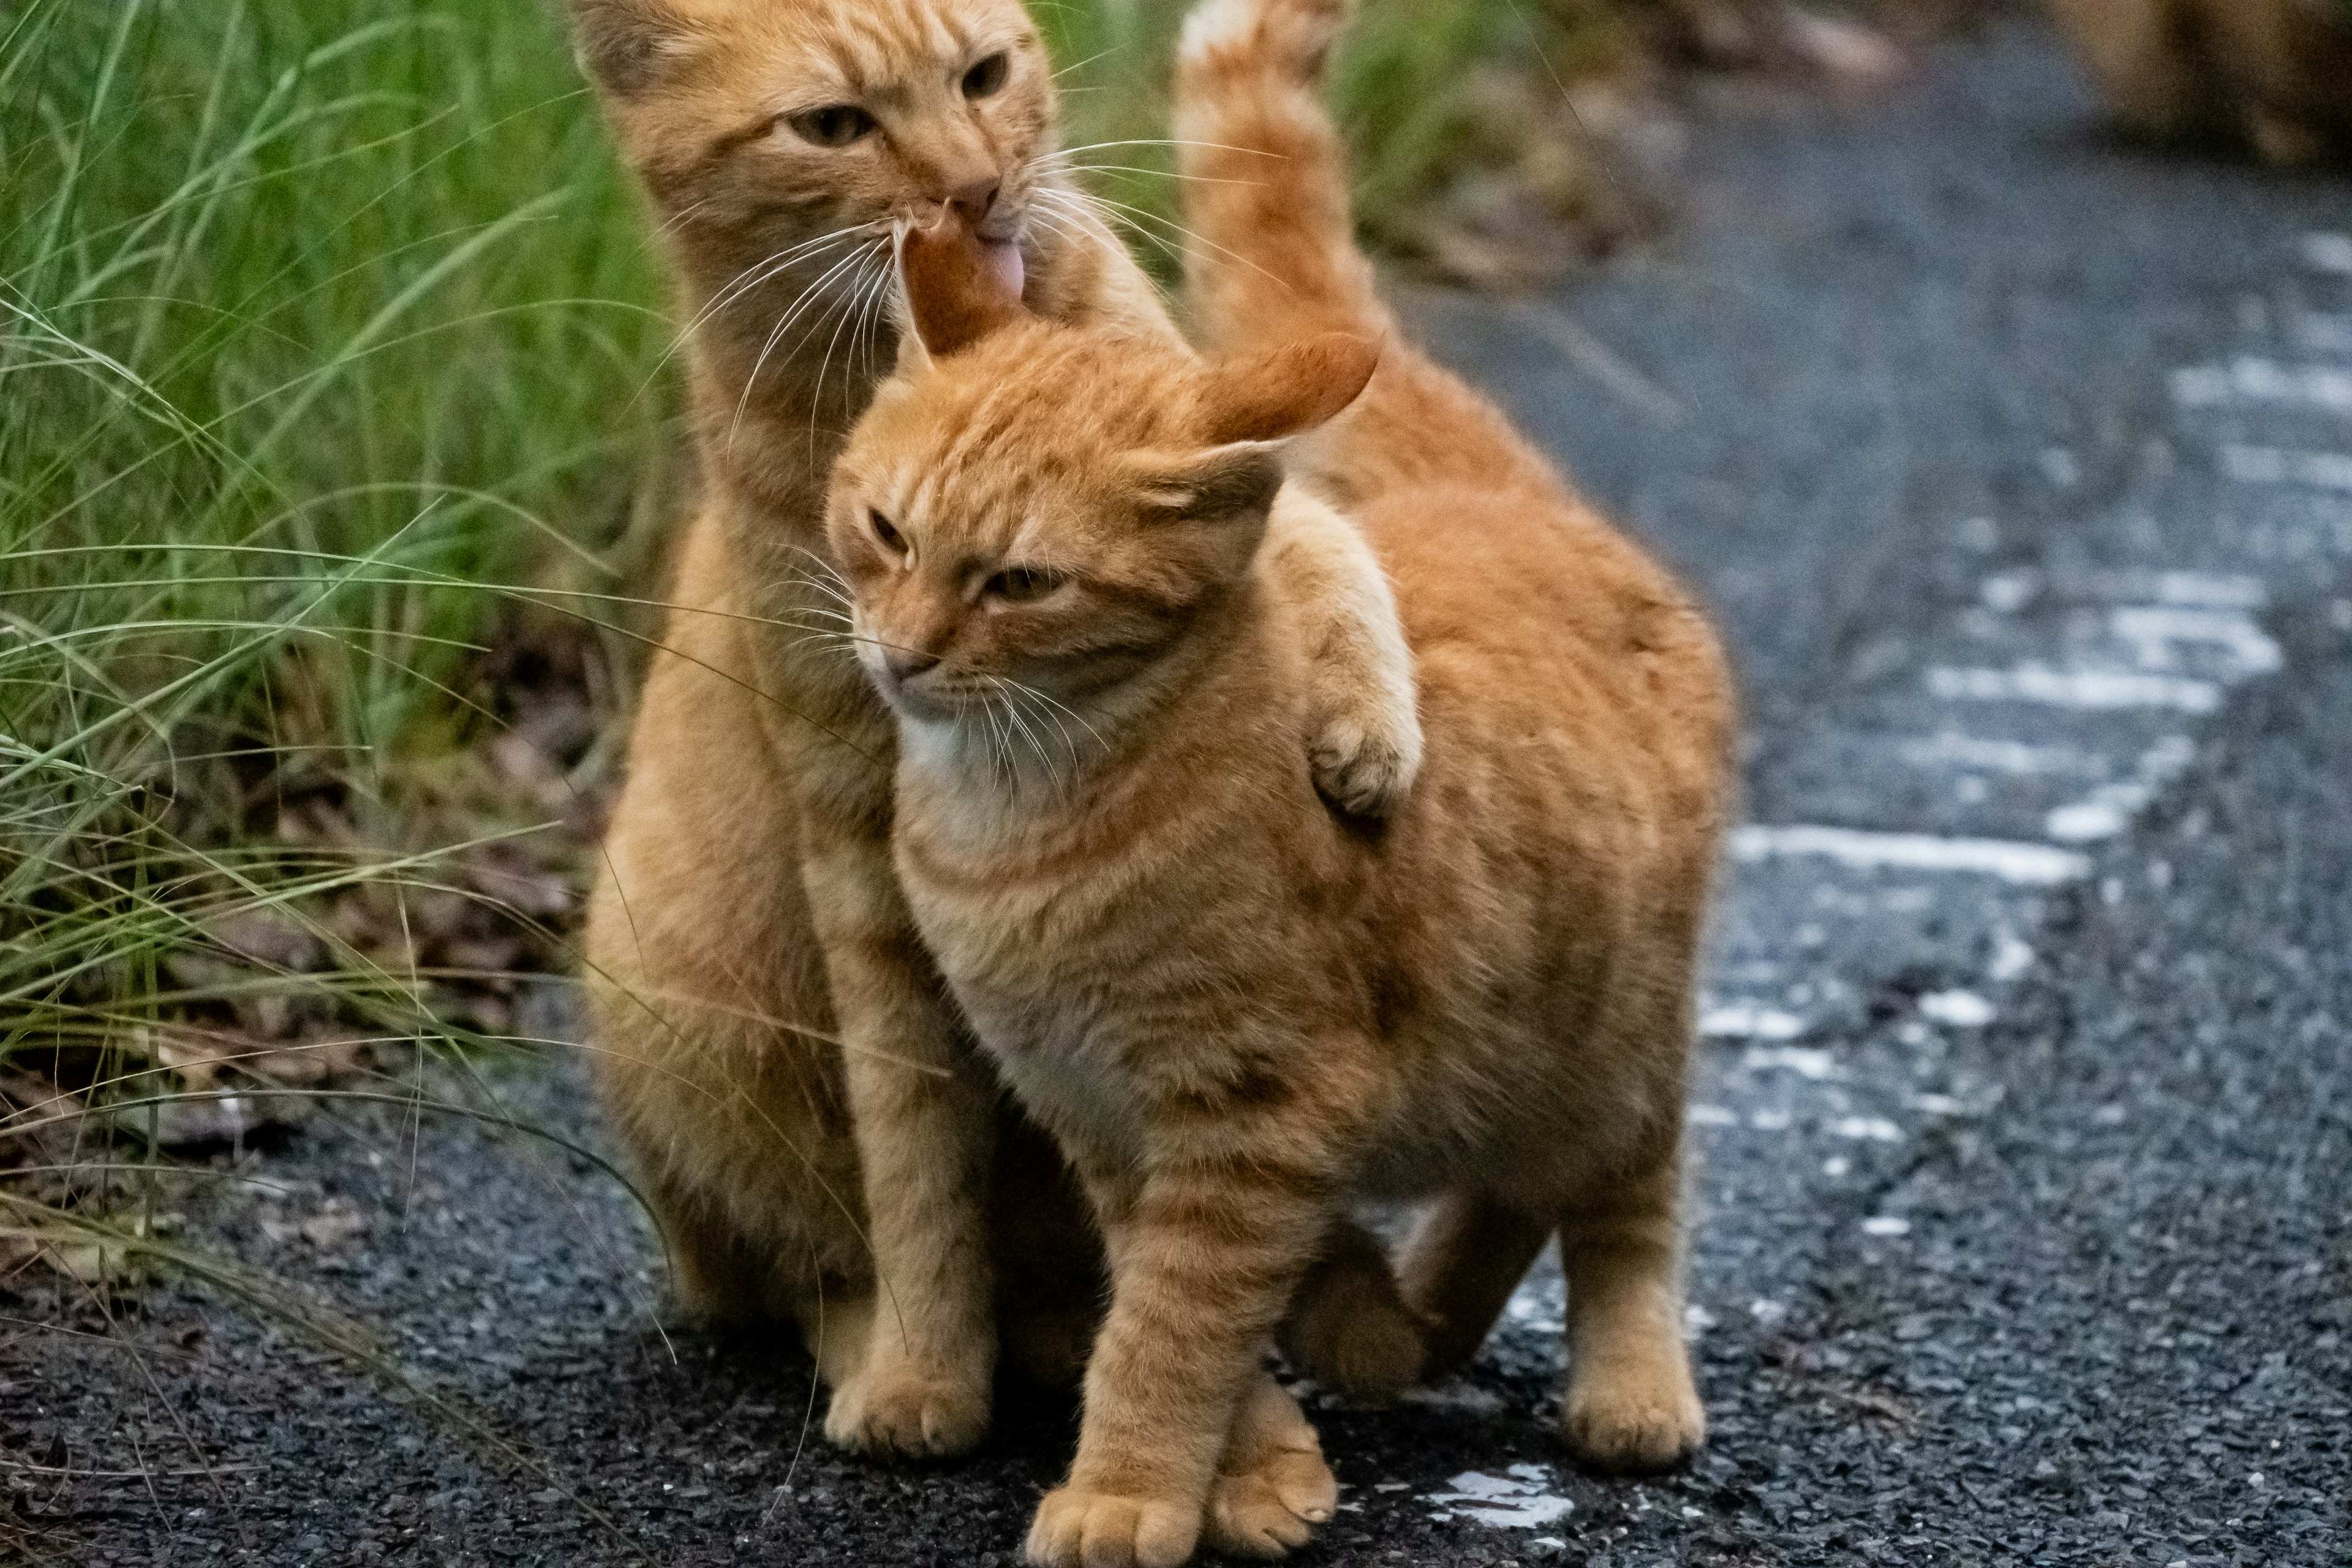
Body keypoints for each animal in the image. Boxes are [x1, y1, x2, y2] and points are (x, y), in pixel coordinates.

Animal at [567, 0, 1411, 1457]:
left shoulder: (1227, 459)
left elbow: (1328, 546)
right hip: (674, 1016)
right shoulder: (860, 839)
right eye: (834, 126)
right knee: (797, 1264)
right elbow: (911, 1148)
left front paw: (1366, 719)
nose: (972, 190)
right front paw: (924, 1370)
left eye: (985, 75)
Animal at [823, 0, 1731, 1561]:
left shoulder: (1247, 1112)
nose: (902, 653)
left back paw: (1620, 1379)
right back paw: (1401, 1315)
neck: (1012, 817)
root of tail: (1499, 493)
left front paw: (1127, 1490)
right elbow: (1177, 1309)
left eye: (1019, 583)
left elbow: (1165, 1335)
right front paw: (1255, 1464)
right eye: (885, 529)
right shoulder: (1107, 1121)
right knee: (1507, 1192)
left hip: (1613, 1034)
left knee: (1624, 1194)